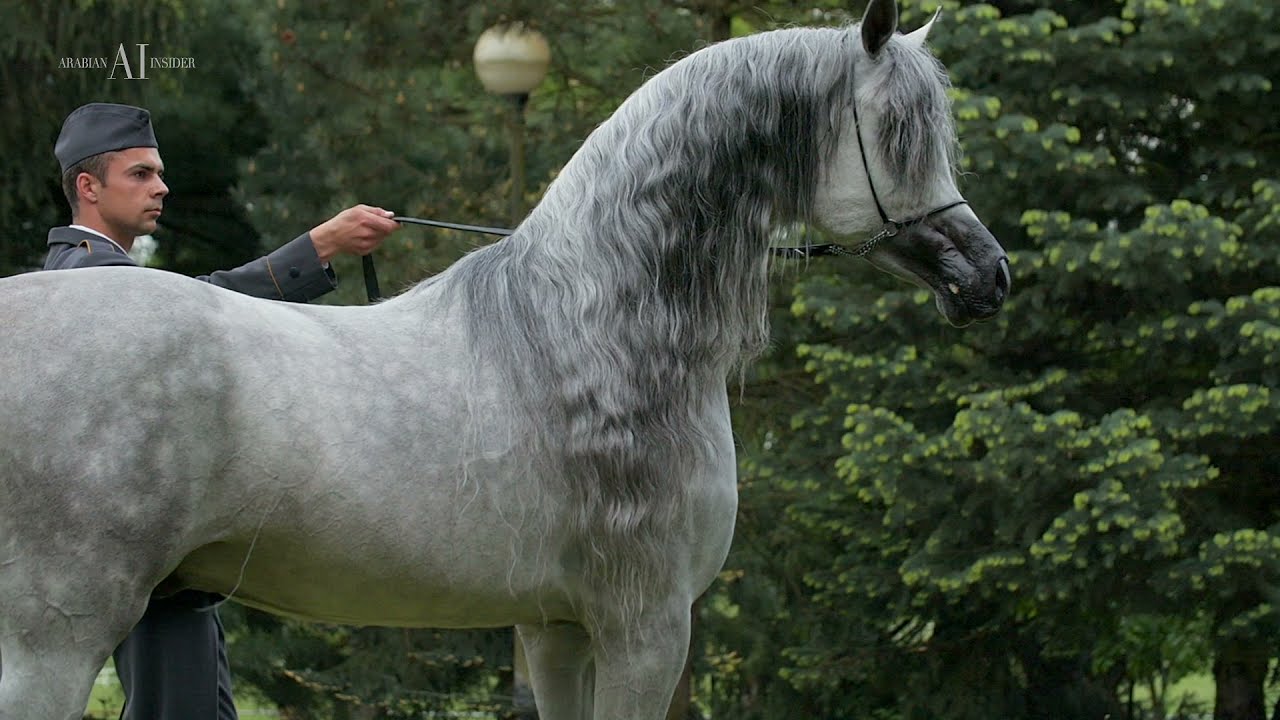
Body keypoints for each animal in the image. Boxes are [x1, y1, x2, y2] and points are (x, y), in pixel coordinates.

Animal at [0, 1, 1008, 718]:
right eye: (897, 133)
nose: (987, 275)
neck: (595, 326)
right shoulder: (645, 630)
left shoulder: (557, 630)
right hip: (53, 643)